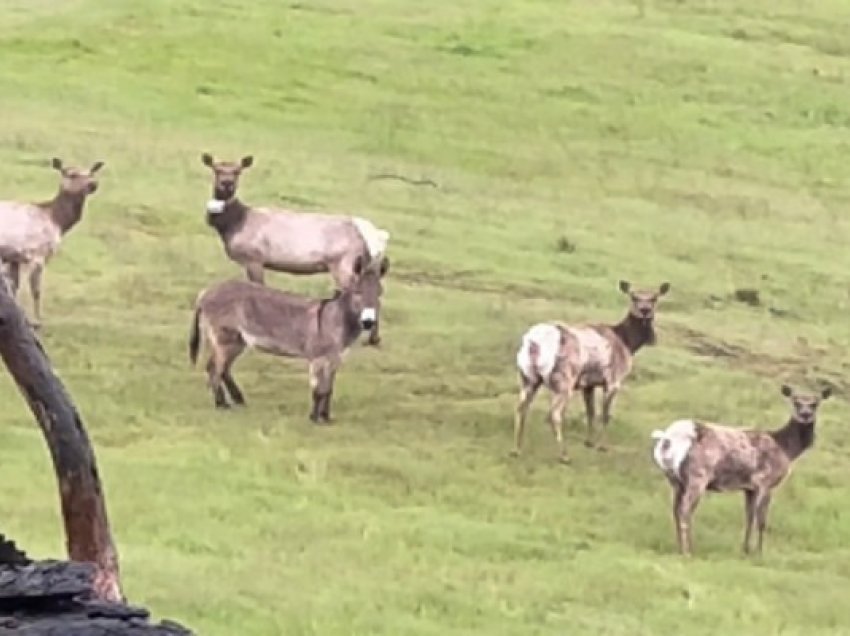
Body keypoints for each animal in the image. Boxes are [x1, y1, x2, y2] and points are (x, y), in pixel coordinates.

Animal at [0, 158, 104, 328]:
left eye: (91, 173)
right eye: (72, 174)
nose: (93, 184)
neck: (57, 221)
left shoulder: (14, 257)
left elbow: (15, 287)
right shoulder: (37, 253)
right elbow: (36, 290)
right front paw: (37, 321)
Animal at [188, 253, 388, 422]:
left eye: (379, 294)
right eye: (358, 293)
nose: (369, 322)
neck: (335, 319)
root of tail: (205, 293)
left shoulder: (335, 359)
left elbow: (328, 390)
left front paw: (325, 417)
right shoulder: (318, 359)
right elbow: (318, 390)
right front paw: (314, 418)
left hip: (238, 341)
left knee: (224, 369)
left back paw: (238, 400)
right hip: (225, 339)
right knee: (214, 368)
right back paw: (222, 404)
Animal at [199, 154, 390, 348]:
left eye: (238, 171)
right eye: (216, 169)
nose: (227, 183)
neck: (234, 225)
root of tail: (377, 236)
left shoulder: (254, 258)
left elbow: (259, 287)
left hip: (344, 264)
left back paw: (370, 336)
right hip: (367, 265)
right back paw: (374, 337)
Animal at [510, 278, 668, 462]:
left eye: (654, 298)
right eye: (634, 297)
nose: (645, 310)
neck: (628, 343)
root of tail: (534, 343)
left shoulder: (588, 384)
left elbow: (590, 412)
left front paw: (589, 442)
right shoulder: (613, 381)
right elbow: (605, 415)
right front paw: (602, 446)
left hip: (528, 377)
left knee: (521, 408)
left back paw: (516, 449)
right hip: (564, 381)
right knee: (554, 414)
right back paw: (564, 455)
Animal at [648, 382, 828, 556]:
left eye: (815, 403)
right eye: (795, 402)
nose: (805, 414)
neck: (786, 449)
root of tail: (668, 437)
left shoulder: (749, 488)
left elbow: (749, 517)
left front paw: (746, 550)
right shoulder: (765, 481)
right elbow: (761, 520)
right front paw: (759, 553)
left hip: (675, 480)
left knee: (675, 511)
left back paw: (680, 548)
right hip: (698, 475)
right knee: (685, 510)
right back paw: (688, 551)